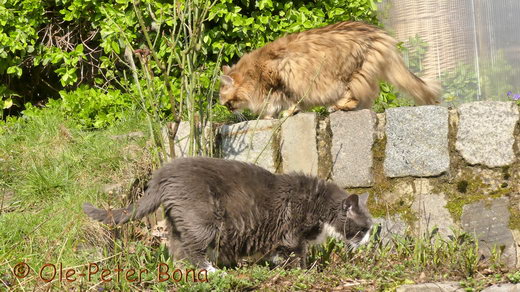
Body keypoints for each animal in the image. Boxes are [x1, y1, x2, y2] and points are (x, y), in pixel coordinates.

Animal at [83, 157, 372, 272]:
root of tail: (164, 173)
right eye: (365, 228)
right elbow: (298, 255)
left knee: (176, 247)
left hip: (179, 219)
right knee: (193, 247)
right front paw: (305, 272)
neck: (320, 205)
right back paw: (211, 271)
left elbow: (277, 252)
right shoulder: (293, 233)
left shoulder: (279, 238)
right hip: (204, 219)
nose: (369, 240)